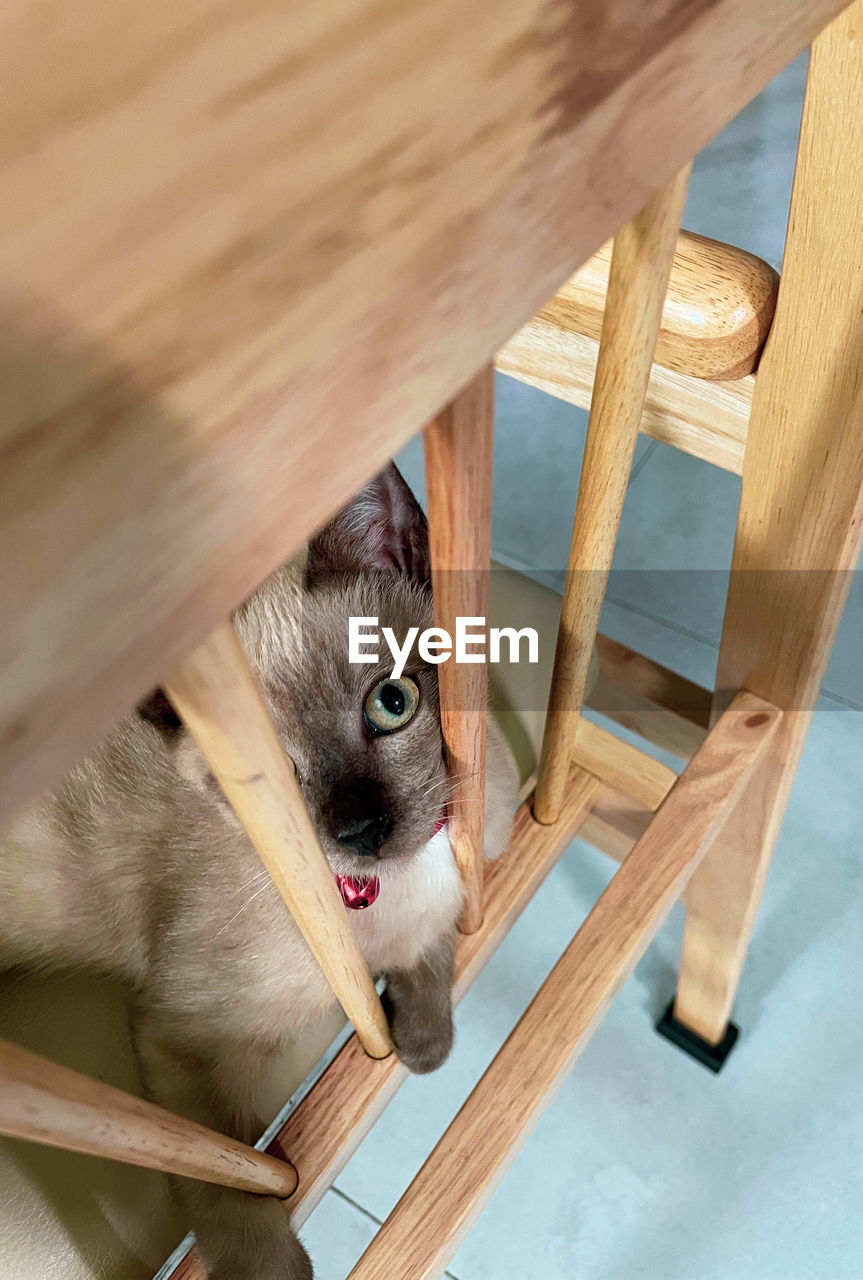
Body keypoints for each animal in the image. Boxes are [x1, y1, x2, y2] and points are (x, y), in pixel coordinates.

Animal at [0, 465, 512, 1280]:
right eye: (264, 785)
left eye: (392, 703)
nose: (360, 831)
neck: (388, 892)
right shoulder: (180, 1037)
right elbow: (232, 1173)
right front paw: (275, 1264)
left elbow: (432, 963)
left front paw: (424, 1040)